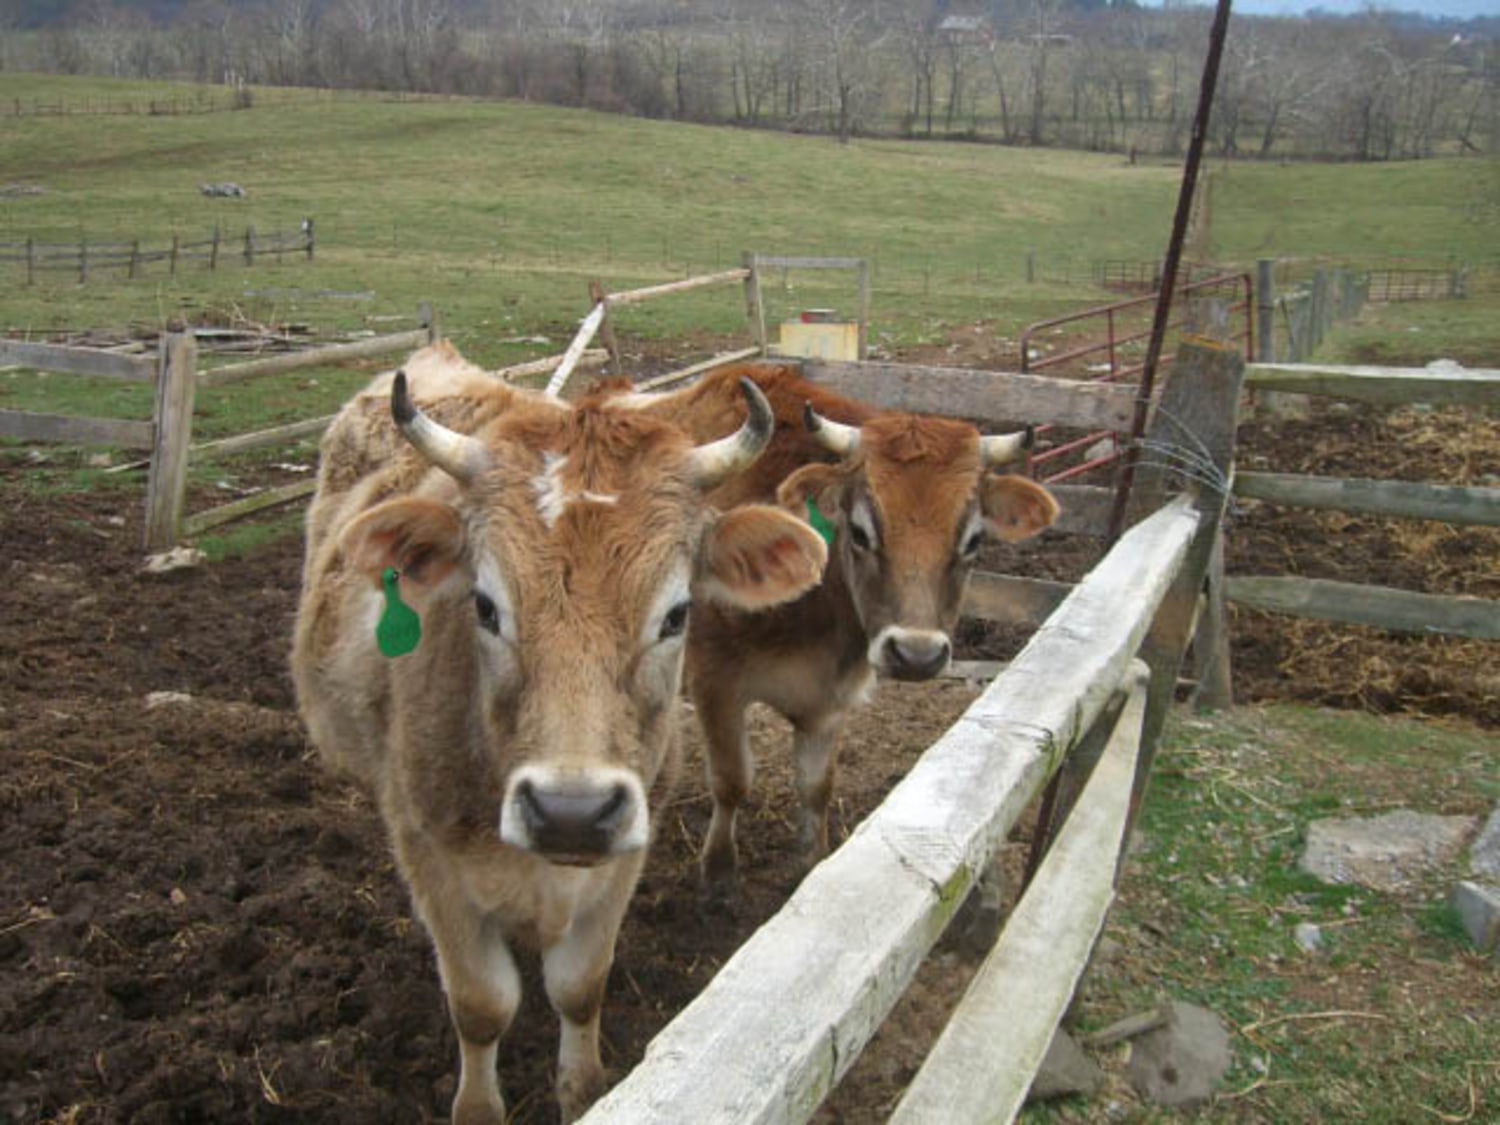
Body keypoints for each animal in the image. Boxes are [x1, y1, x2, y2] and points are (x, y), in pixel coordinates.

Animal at [289, 343, 834, 1125]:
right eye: (485, 606)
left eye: (677, 613)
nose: (570, 812)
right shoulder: (430, 856)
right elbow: (481, 1004)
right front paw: (478, 1105)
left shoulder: (623, 856)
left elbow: (580, 985)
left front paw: (582, 1085)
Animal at [627, 366, 1062, 894]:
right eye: (860, 532)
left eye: (974, 540)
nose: (916, 654)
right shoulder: (715, 683)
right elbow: (732, 780)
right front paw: (718, 871)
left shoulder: (831, 700)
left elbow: (816, 786)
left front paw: (811, 860)